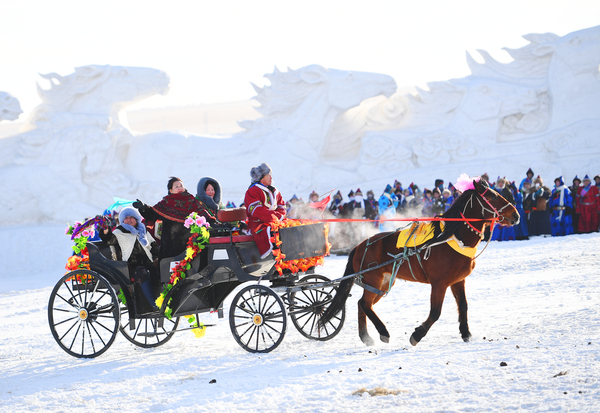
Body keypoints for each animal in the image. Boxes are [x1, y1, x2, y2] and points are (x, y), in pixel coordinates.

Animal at [318, 179, 520, 346]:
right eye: (492, 196)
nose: (516, 215)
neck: (451, 237)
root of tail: (360, 245)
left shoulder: (458, 281)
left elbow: (463, 306)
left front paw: (466, 333)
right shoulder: (439, 283)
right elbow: (435, 312)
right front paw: (417, 334)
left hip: (382, 283)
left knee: (363, 305)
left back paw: (366, 337)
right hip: (374, 279)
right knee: (365, 304)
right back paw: (383, 332)